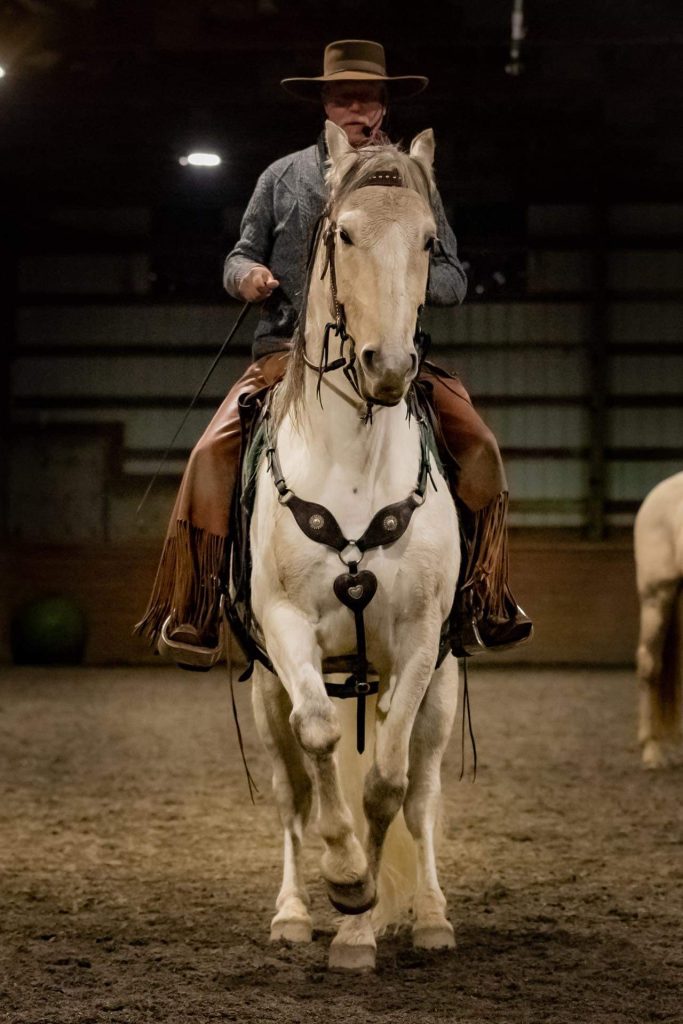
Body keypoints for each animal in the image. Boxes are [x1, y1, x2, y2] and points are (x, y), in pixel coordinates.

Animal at [245, 123, 458, 970]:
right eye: (343, 234)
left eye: (429, 240)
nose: (388, 366)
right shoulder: (286, 630)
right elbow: (319, 741)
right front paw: (341, 882)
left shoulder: (419, 644)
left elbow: (387, 787)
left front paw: (363, 914)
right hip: (263, 691)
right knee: (289, 797)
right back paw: (293, 913)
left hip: (442, 689)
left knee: (422, 798)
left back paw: (426, 919)